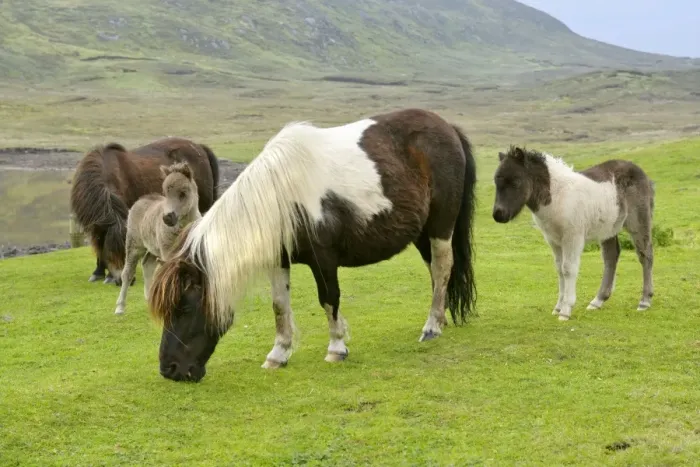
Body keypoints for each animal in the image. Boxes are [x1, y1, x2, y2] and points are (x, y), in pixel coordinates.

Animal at [114, 162, 202, 316]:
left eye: (183, 193)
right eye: (165, 194)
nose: (167, 218)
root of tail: (142, 199)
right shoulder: (168, 253)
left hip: (153, 249)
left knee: (147, 264)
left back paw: (149, 299)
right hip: (134, 245)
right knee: (127, 273)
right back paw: (120, 307)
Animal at [147, 108, 478, 382]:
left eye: (184, 308)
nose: (169, 370)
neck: (281, 194)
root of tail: (447, 127)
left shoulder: (324, 259)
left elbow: (329, 299)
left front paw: (336, 348)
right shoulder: (278, 260)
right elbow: (279, 305)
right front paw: (278, 355)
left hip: (440, 227)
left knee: (443, 267)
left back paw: (431, 327)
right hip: (421, 233)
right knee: (436, 273)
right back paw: (440, 319)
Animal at [491, 146, 655, 321]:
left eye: (515, 181)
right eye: (496, 182)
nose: (498, 215)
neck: (557, 197)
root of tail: (643, 174)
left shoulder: (573, 237)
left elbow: (568, 269)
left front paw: (565, 310)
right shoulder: (553, 240)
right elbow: (559, 269)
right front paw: (558, 307)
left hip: (638, 221)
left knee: (645, 254)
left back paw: (644, 301)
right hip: (609, 228)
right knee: (611, 256)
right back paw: (597, 301)